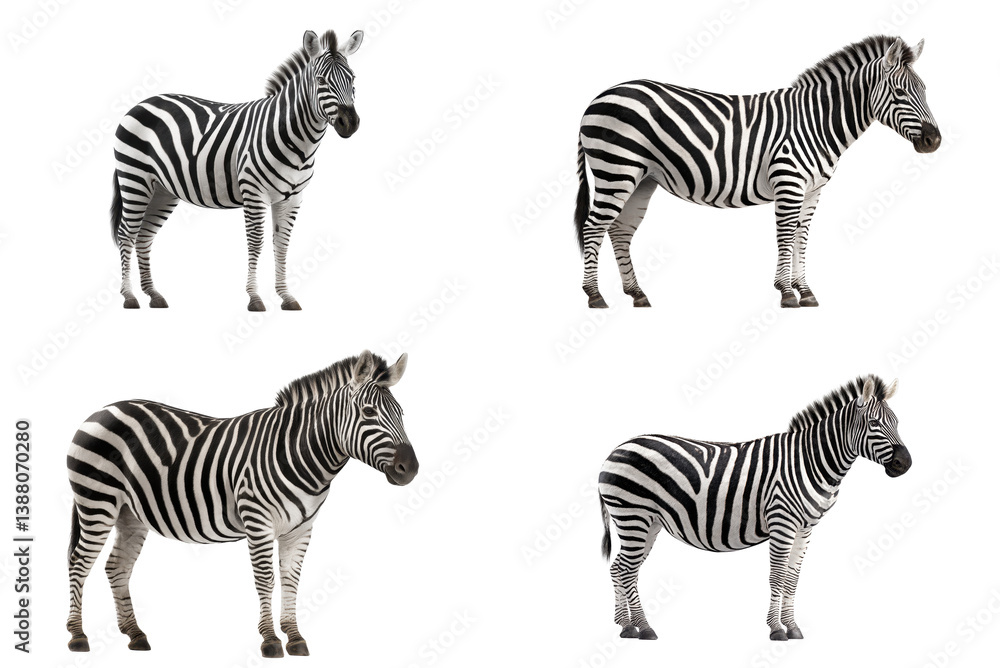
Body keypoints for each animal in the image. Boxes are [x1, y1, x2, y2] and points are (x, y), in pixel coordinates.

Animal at [66, 351, 417, 657]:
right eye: (369, 412)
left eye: (402, 414)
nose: (410, 469)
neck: (298, 452)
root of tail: (103, 409)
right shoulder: (258, 520)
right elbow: (266, 578)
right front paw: (271, 640)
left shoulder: (300, 528)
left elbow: (291, 578)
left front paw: (295, 637)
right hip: (97, 501)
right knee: (79, 562)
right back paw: (78, 636)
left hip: (130, 513)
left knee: (116, 567)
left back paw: (135, 634)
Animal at [111, 28, 363, 311]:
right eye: (320, 80)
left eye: (353, 78)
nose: (350, 123)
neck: (295, 140)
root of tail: (143, 102)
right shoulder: (254, 193)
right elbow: (256, 242)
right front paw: (255, 297)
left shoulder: (292, 198)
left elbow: (282, 245)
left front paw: (286, 296)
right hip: (135, 179)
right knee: (126, 233)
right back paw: (129, 296)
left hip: (162, 190)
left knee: (144, 236)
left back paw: (153, 295)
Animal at [575, 35, 940, 309]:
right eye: (900, 93)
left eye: (925, 90)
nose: (934, 141)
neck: (817, 122)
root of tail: (597, 97)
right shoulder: (789, 182)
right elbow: (786, 234)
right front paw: (786, 293)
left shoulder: (813, 189)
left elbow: (802, 236)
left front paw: (805, 291)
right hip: (615, 169)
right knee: (593, 227)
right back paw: (595, 296)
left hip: (641, 178)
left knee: (619, 230)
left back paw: (636, 294)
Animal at [598, 375, 911, 641]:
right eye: (874, 423)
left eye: (897, 422)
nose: (905, 464)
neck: (811, 460)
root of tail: (616, 449)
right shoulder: (782, 521)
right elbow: (777, 576)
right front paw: (776, 629)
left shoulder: (805, 527)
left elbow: (793, 578)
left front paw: (793, 627)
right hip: (633, 514)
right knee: (626, 569)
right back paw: (644, 627)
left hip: (649, 521)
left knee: (620, 568)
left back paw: (627, 626)